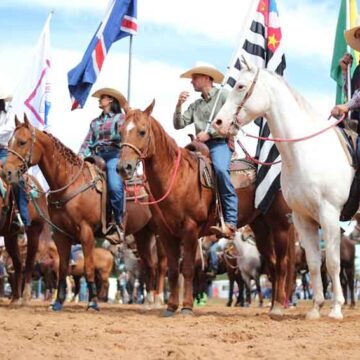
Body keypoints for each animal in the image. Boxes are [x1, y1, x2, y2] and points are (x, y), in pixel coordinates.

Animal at [0, 174, 47, 304]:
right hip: (10, 236)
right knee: (18, 264)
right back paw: (16, 297)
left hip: (34, 232)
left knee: (29, 263)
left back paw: (26, 296)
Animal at [117, 100, 292, 316]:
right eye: (121, 130)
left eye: (142, 131)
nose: (123, 168)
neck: (177, 177)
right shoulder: (166, 234)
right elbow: (173, 271)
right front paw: (171, 307)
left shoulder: (190, 230)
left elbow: (187, 270)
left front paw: (186, 307)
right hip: (261, 229)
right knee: (273, 265)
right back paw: (273, 305)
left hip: (280, 225)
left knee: (282, 264)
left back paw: (279, 306)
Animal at [212, 57, 352, 320]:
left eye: (241, 86)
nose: (219, 122)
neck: (307, 152)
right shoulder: (302, 218)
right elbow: (315, 263)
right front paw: (316, 307)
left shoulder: (329, 215)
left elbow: (332, 262)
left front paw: (336, 308)